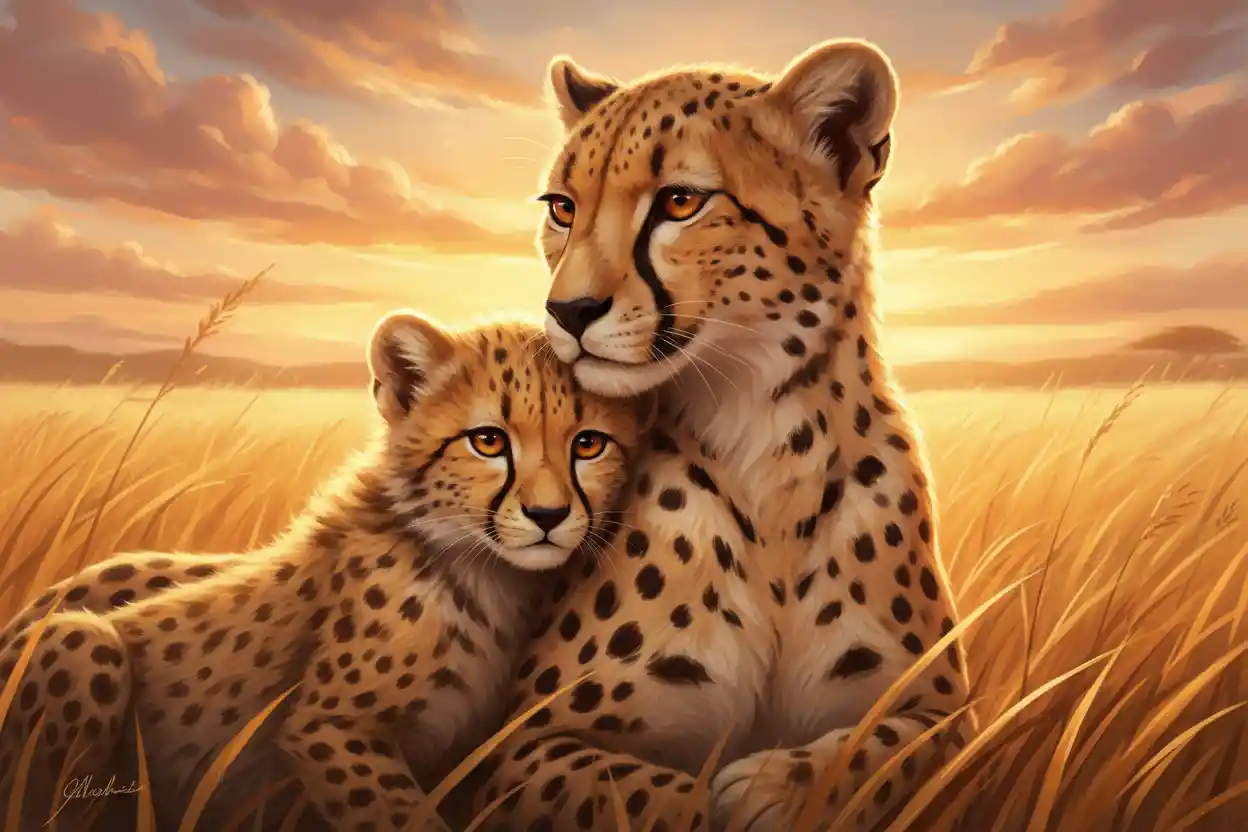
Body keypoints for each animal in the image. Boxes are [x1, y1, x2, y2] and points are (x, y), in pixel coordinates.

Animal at [0, 310, 654, 831]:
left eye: (589, 444)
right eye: (489, 441)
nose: (548, 515)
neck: (486, 571)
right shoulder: (328, 730)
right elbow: (406, 817)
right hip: (82, 642)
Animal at [476, 38, 976, 831]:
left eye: (681, 202)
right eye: (563, 208)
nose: (568, 311)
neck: (764, 437)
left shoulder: (944, 714)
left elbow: (879, 754)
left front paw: (777, 786)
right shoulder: (519, 745)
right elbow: (650, 793)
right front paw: (728, 793)